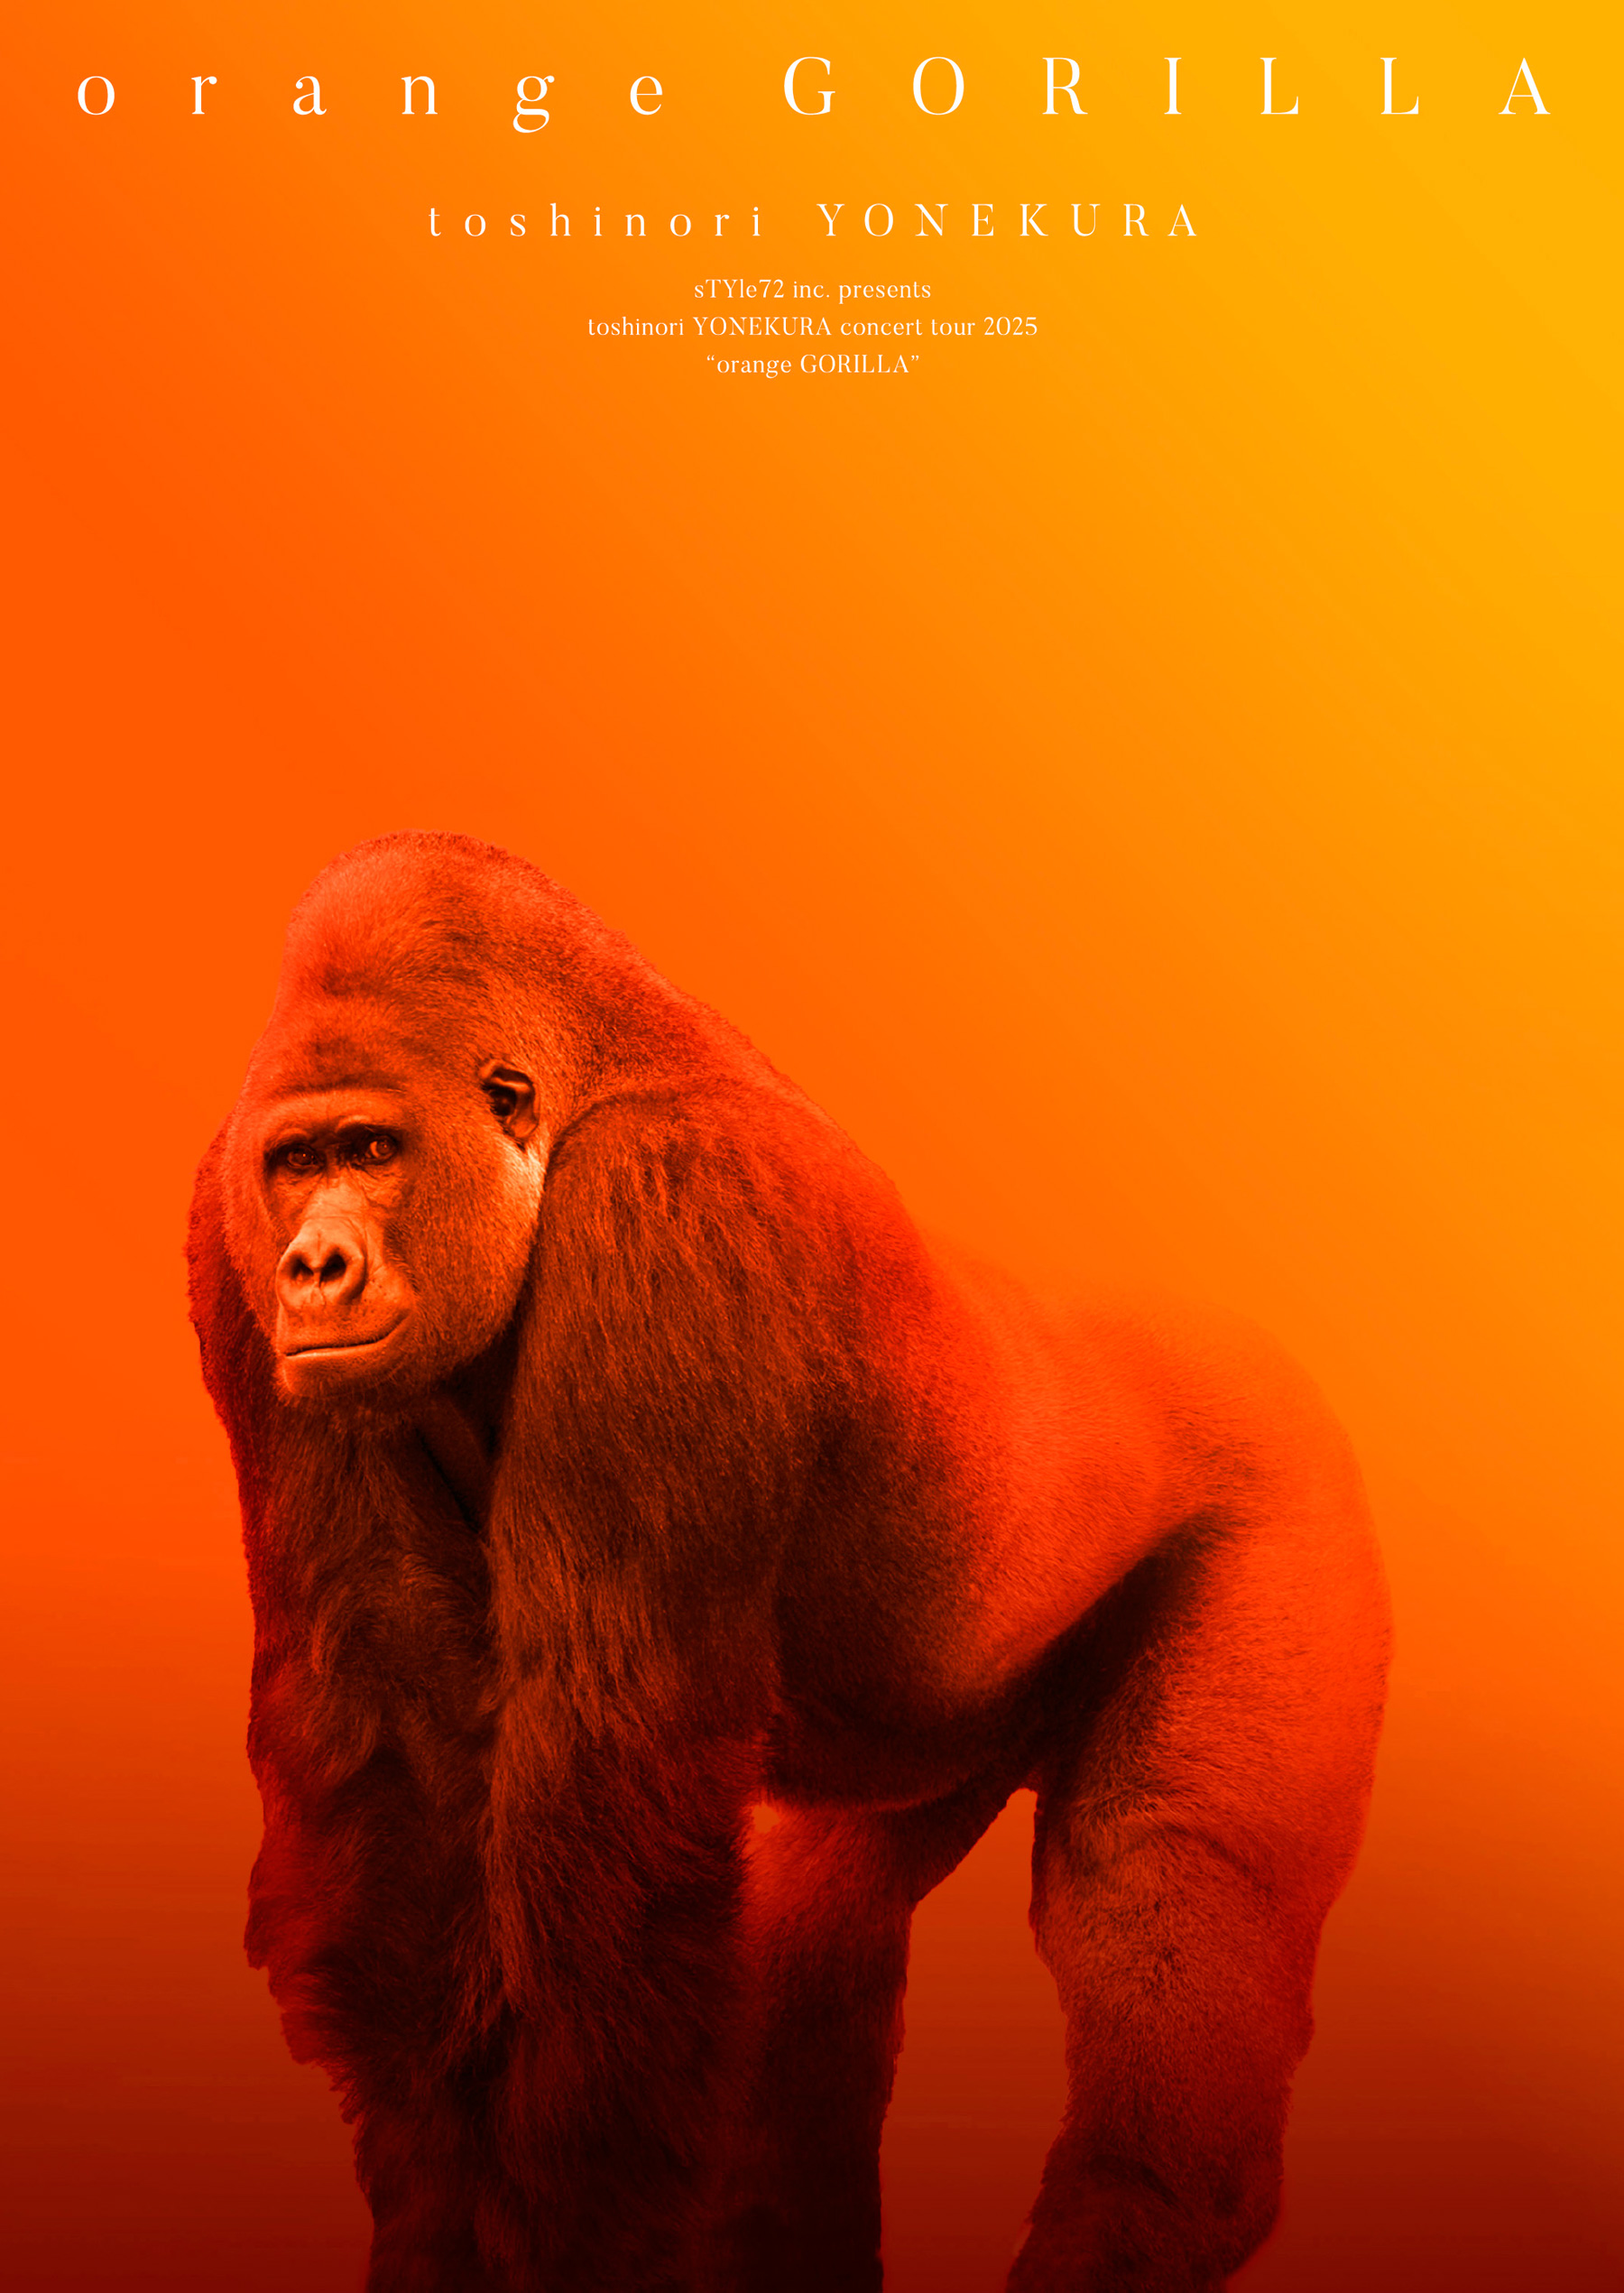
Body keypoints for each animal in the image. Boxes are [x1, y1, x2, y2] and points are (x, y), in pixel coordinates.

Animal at [188, 830, 1387, 2292]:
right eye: (296, 1161)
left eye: (374, 1149)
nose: (315, 1265)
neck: (578, 1076)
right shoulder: (227, 1237)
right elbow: (394, 1745)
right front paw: (435, 2211)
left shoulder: (671, 1206)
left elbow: (605, 1802)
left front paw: (568, 2228)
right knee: (816, 1942)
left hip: (1287, 1489)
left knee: (1161, 1881)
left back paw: (1149, 2205)